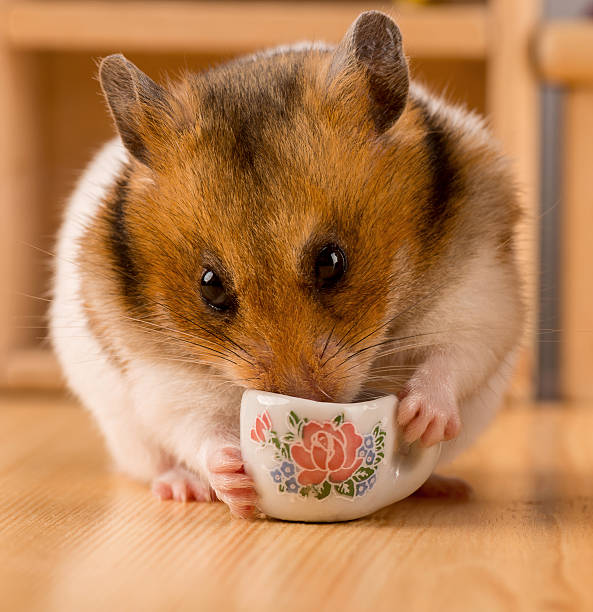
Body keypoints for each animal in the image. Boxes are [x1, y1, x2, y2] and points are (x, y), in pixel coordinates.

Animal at [51, 9, 524, 516]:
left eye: (332, 262)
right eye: (210, 286)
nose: (307, 399)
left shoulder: (480, 293)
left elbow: (452, 357)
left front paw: (420, 420)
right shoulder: (161, 374)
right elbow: (196, 425)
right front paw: (234, 480)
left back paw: (445, 485)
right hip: (126, 431)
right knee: (155, 461)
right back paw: (182, 488)